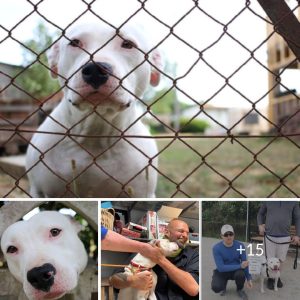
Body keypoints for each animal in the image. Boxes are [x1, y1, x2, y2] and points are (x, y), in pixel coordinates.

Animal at [25, 21, 163, 199]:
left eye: (128, 44)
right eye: (75, 43)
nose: (96, 70)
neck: (95, 134)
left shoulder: (142, 193)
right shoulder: (39, 191)